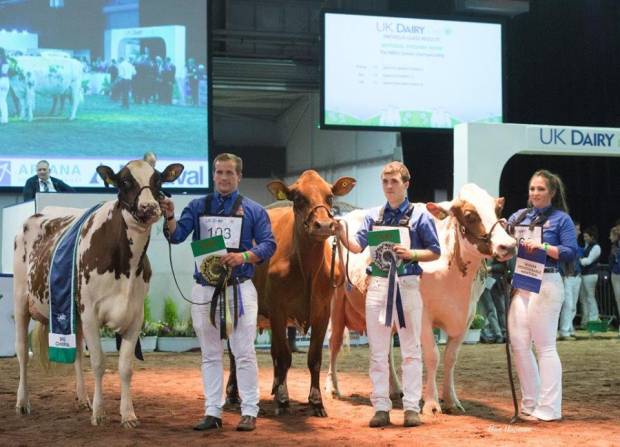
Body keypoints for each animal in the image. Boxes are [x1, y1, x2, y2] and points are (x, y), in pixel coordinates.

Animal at [13, 160, 183, 428]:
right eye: (124, 181)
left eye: (158, 180)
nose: (149, 207)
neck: (125, 265)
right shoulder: (90, 313)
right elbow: (99, 362)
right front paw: (100, 413)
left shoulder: (136, 316)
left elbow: (125, 367)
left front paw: (128, 414)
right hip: (21, 299)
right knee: (22, 352)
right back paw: (22, 402)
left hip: (73, 316)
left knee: (76, 355)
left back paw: (83, 399)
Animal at [226, 171, 354, 416]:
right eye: (298, 198)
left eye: (330, 196)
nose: (324, 225)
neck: (307, 269)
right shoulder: (278, 310)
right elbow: (285, 357)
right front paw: (284, 400)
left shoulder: (323, 310)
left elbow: (314, 357)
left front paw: (316, 401)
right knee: (234, 351)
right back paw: (233, 394)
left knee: (274, 351)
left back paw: (275, 386)